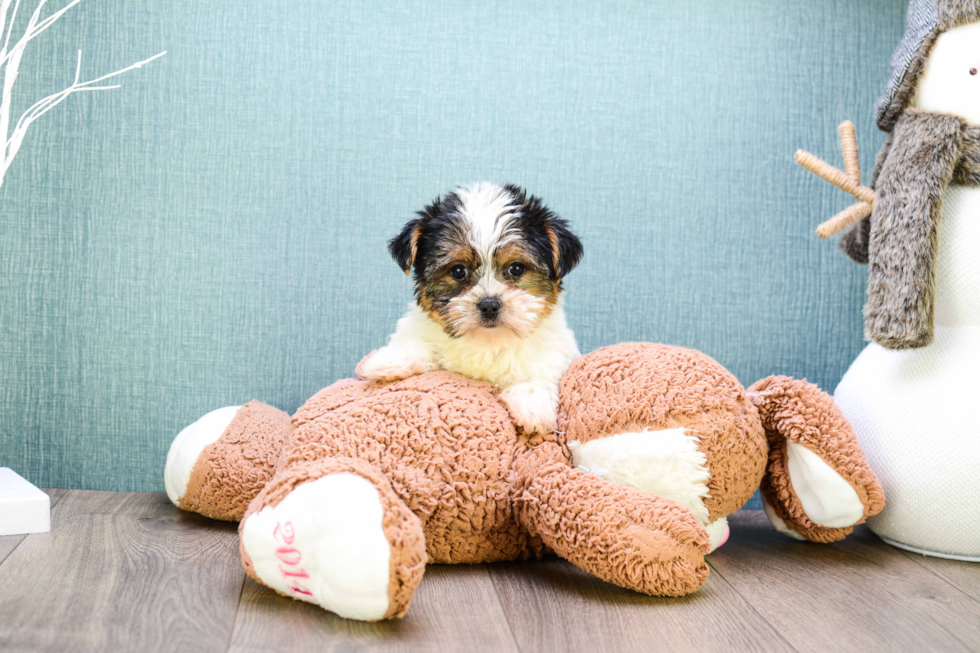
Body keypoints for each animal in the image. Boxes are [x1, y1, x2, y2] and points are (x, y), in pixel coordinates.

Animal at [364, 183, 584, 436]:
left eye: (516, 268)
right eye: (458, 271)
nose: (489, 305)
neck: (486, 341)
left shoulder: (555, 348)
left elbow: (540, 369)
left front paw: (532, 404)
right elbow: (415, 341)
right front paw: (389, 360)